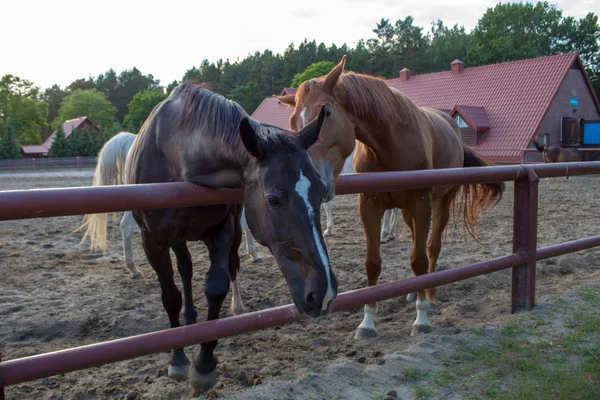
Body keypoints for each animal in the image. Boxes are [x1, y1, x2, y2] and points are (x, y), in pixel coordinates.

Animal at [127, 83, 338, 394]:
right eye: (273, 200)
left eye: (322, 192)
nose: (323, 294)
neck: (176, 152)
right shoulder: (152, 241)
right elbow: (171, 297)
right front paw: (177, 359)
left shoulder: (222, 230)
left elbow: (216, 287)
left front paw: (203, 365)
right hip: (174, 239)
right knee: (184, 270)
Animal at [276, 56, 506, 338]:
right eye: (293, 123)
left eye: (326, 111)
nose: (306, 178)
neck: (391, 145)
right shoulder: (370, 207)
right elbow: (373, 263)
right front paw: (367, 322)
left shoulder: (421, 204)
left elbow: (420, 260)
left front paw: (421, 319)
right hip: (407, 211)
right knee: (417, 242)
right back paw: (412, 292)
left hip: (441, 202)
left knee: (432, 247)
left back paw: (429, 294)